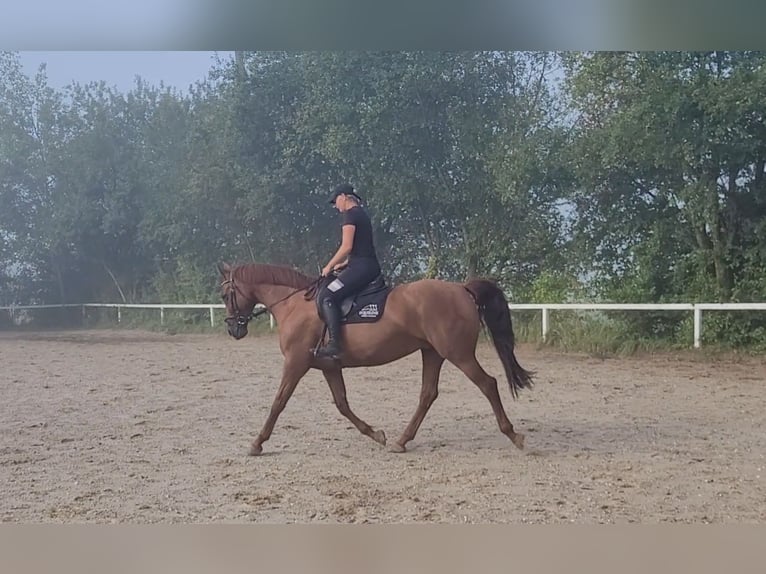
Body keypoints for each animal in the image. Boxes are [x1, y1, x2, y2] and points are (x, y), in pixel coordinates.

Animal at [218, 264, 536, 456]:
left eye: (224, 294)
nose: (233, 329)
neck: (295, 304)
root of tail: (462, 289)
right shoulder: (328, 366)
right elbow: (342, 404)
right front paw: (376, 434)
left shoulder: (296, 364)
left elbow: (278, 402)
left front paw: (257, 443)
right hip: (432, 353)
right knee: (428, 394)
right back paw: (400, 441)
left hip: (457, 353)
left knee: (488, 384)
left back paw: (514, 435)